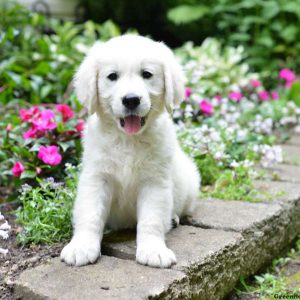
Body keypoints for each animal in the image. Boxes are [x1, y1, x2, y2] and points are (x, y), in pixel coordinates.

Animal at [60, 34, 200, 268]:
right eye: (112, 76)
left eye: (147, 74)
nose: (131, 99)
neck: (128, 140)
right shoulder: (97, 177)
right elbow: (90, 214)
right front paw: (81, 247)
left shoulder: (155, 181)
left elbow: (151, 219)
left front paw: (153, 250)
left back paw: (173, 218)